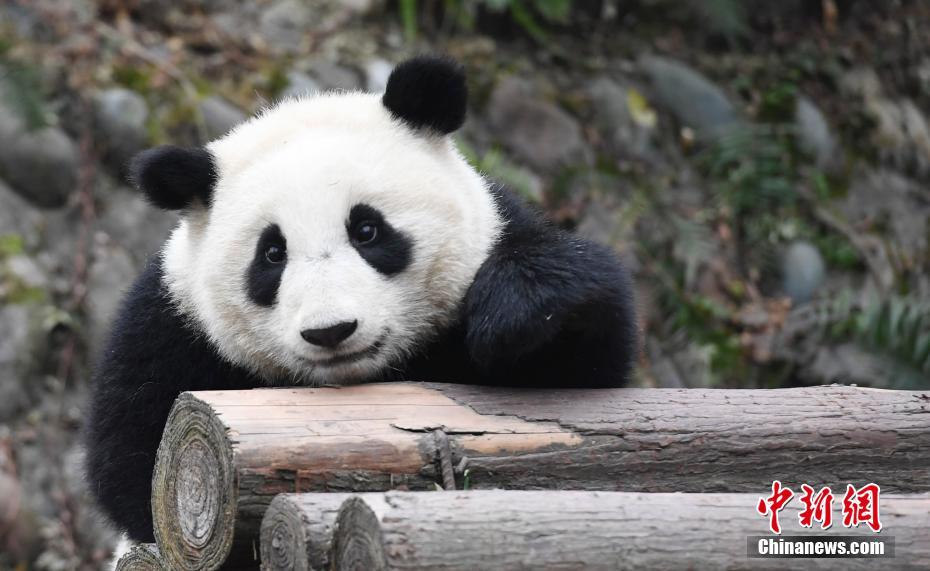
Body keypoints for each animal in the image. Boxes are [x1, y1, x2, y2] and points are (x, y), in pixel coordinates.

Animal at [85, 57, 640, 544]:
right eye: (271, 254)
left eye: (367, 230)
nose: (331, 330)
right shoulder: (170, 330)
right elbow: (132, 473)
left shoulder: (498, 232)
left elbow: (582, 372)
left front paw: (514, 315)